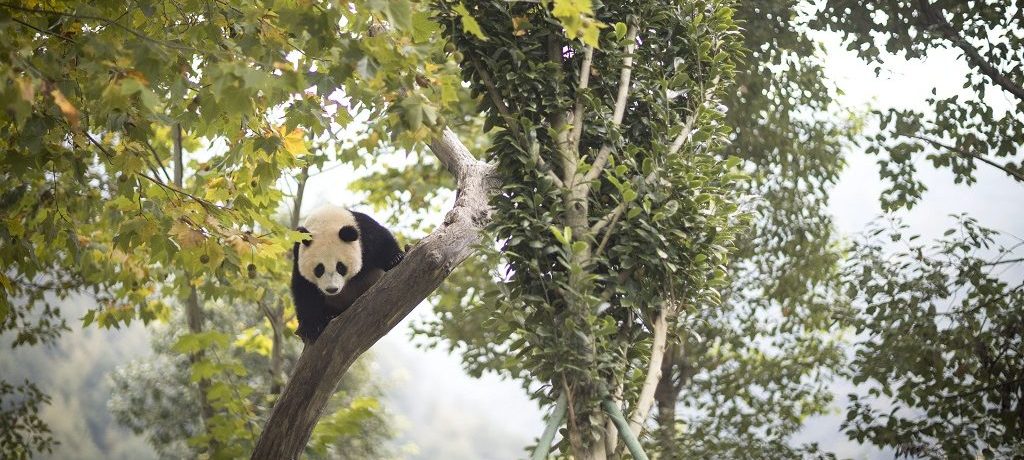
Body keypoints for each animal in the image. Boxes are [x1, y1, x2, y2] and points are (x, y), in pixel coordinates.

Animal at [290, 204, 401, 344]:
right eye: (319, 269)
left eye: (340, 267)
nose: (332, 289)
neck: (326, 219)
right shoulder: (298, 254)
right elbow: (304, 290)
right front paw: (312, 327)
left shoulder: (363, 232)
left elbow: (382, 242)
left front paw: (395, 259)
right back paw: (329, 315)